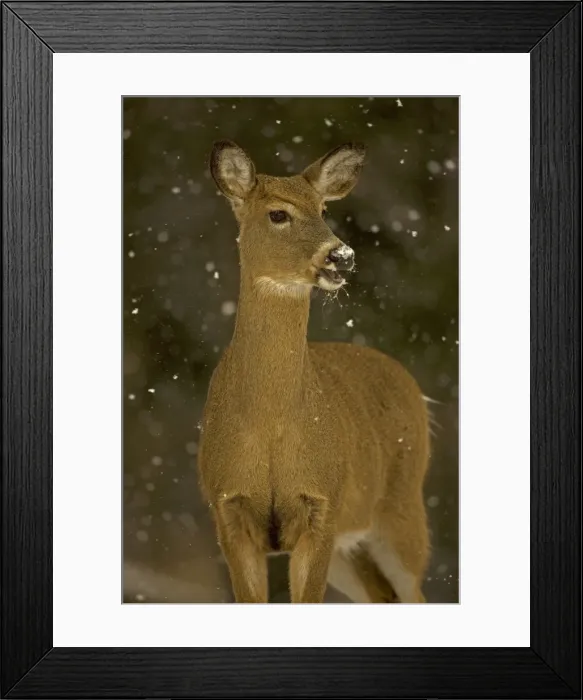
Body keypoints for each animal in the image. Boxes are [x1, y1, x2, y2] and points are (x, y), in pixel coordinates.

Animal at [197, 140, 430, 604]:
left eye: (323, 209)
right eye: (278, 214)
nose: (341, 255)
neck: (270, 427)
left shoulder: (324, 504)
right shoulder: (227, 509)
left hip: (402, 512)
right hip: (353, 549)